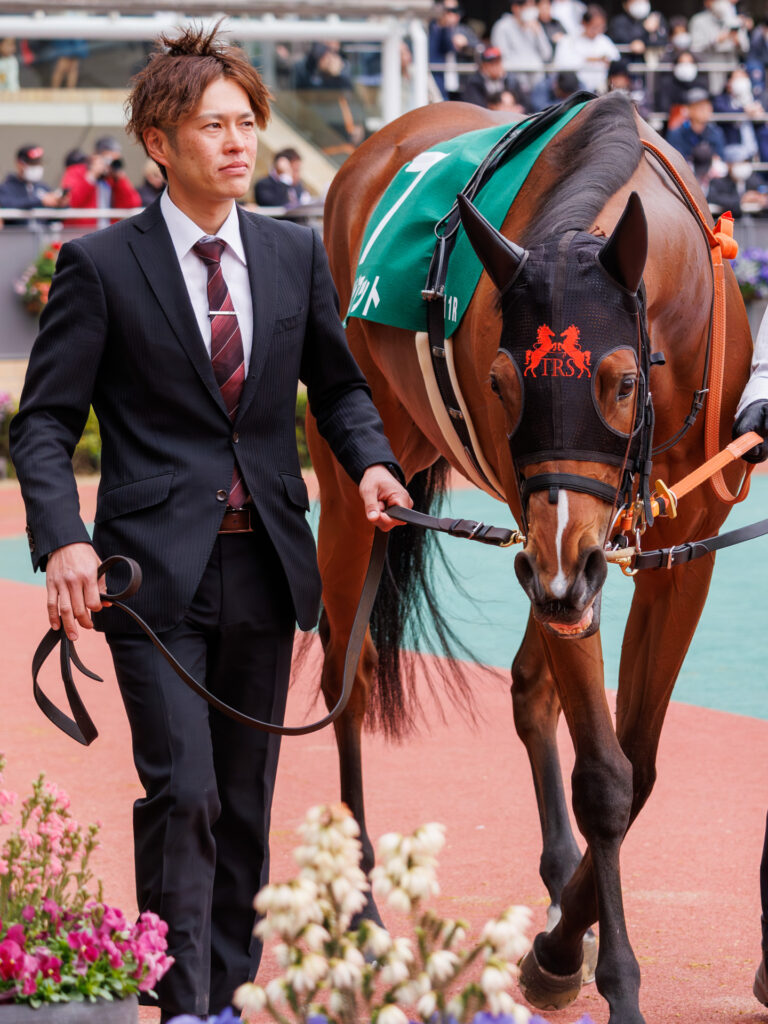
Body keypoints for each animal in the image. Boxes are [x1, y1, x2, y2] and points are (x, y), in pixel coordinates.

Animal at [308, 92, 752, 1024]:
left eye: (623, 379)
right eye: (502, 380)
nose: (563, 572)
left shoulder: (678, 546)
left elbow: (638, 764)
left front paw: (562, 939)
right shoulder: (552, 547)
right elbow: (607, 777)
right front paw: (592, 969)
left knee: (525, 680)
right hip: (355, 477)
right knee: (347, 678)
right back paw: (357, 909)